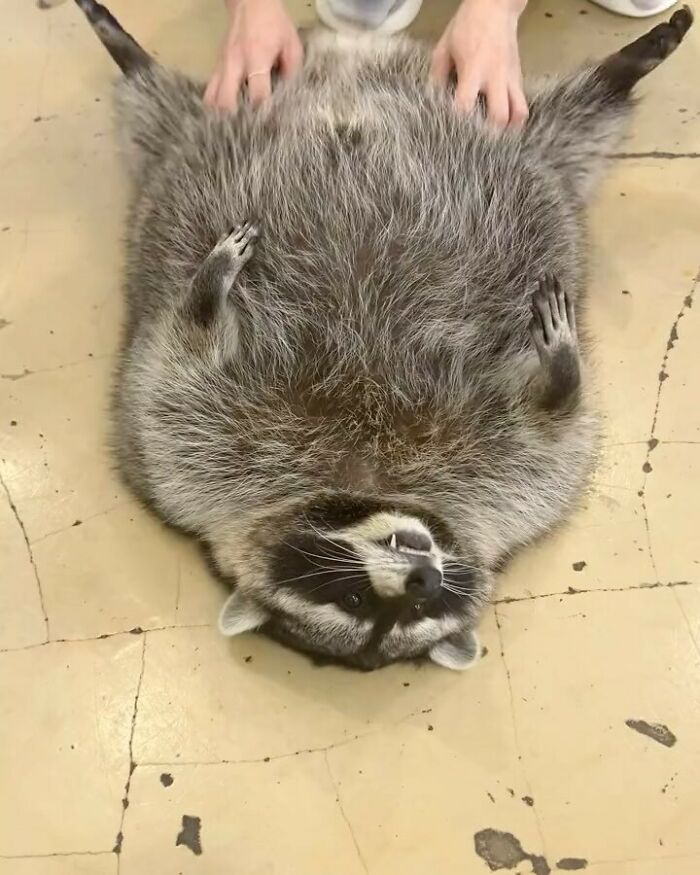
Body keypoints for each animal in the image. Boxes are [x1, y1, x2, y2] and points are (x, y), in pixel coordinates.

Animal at [73, 0, 693, 670]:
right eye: (356, 604)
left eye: (424, 610)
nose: (424, 579)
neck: (365, 473)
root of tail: (352, 56)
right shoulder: (186, 454)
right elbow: (183, 355)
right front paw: (207, 292)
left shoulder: (516, 480)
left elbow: (555, 427)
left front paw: (562, 369)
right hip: (182, 139)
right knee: (150, 101)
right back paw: (127, 53)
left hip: (524, 135)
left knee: (583, 111)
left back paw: (628, 63)